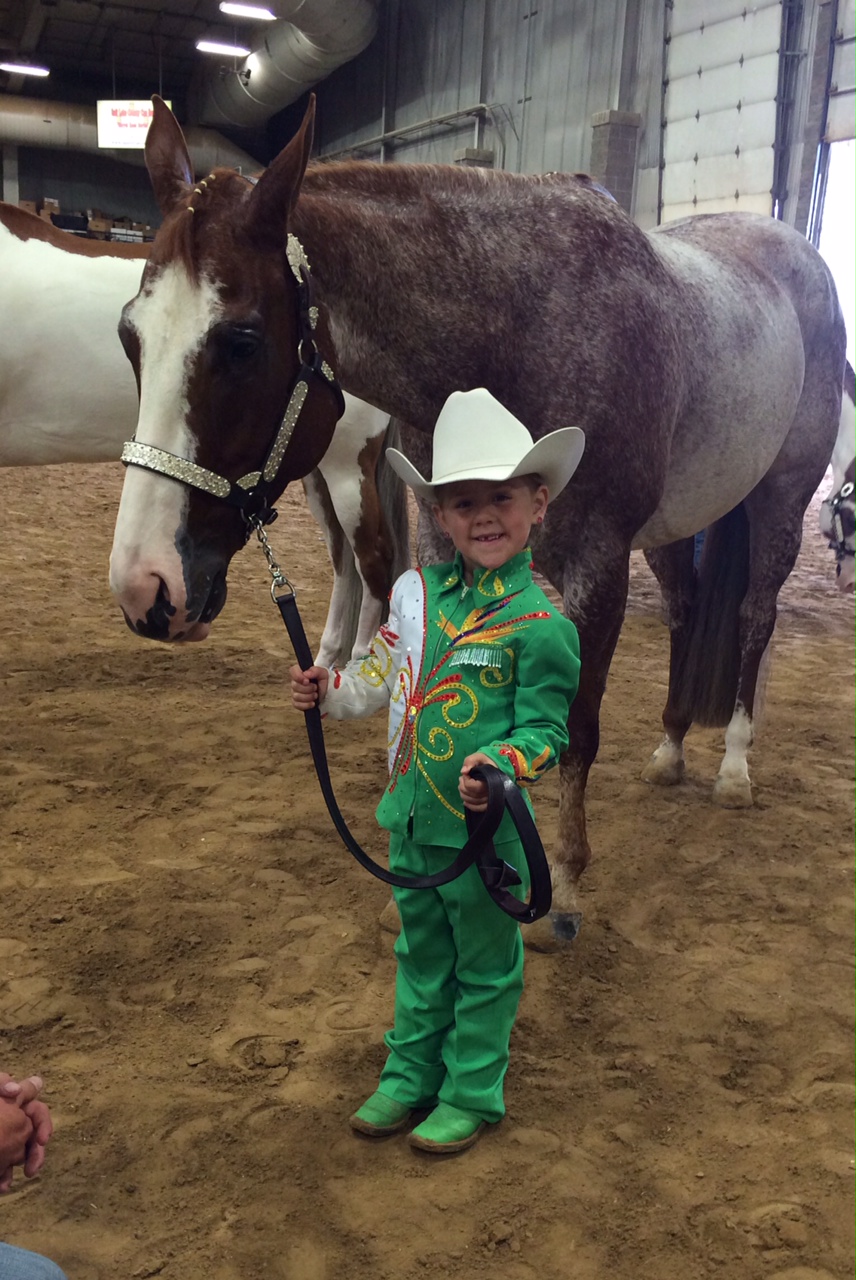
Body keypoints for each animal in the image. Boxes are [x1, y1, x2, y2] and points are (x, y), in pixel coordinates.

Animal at [110, 97, 844, 942]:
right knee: (689, 613)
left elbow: (577, 726)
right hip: (677, 530)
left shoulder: (598, 568)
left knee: (755, 618)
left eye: (240, 341)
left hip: (778, 502)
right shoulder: (441, 541)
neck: (519, 329)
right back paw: (669, 751)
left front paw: (565, 881)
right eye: (130, 335)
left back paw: (733, 767)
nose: (145, 587)